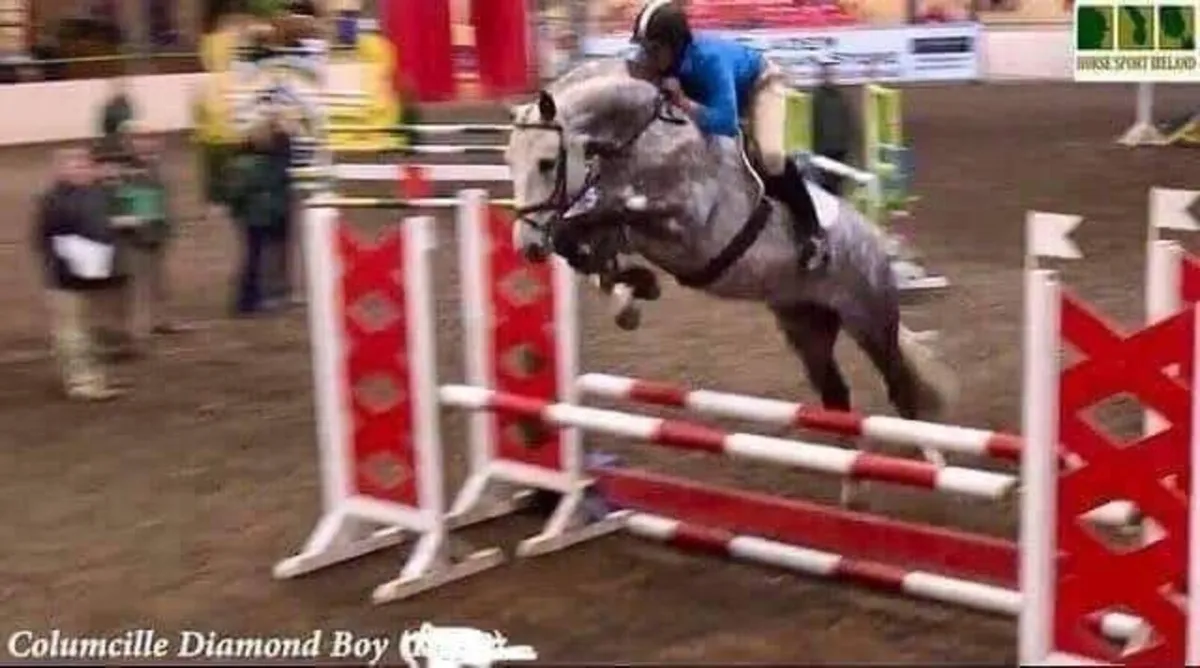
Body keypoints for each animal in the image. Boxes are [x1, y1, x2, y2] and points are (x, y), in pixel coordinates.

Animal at [503, 56, 956, 441]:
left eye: (546, 163)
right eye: (509, 161)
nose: (527, 247)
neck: (644, 136)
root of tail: (877, 245)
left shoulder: (685, 223)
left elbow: (604, 216)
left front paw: (635, 288)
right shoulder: (624, 227)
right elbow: (584, 237)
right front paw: (633, 292)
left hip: (870, 321)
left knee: (902, 392)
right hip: (807, 326)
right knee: (837, 399)